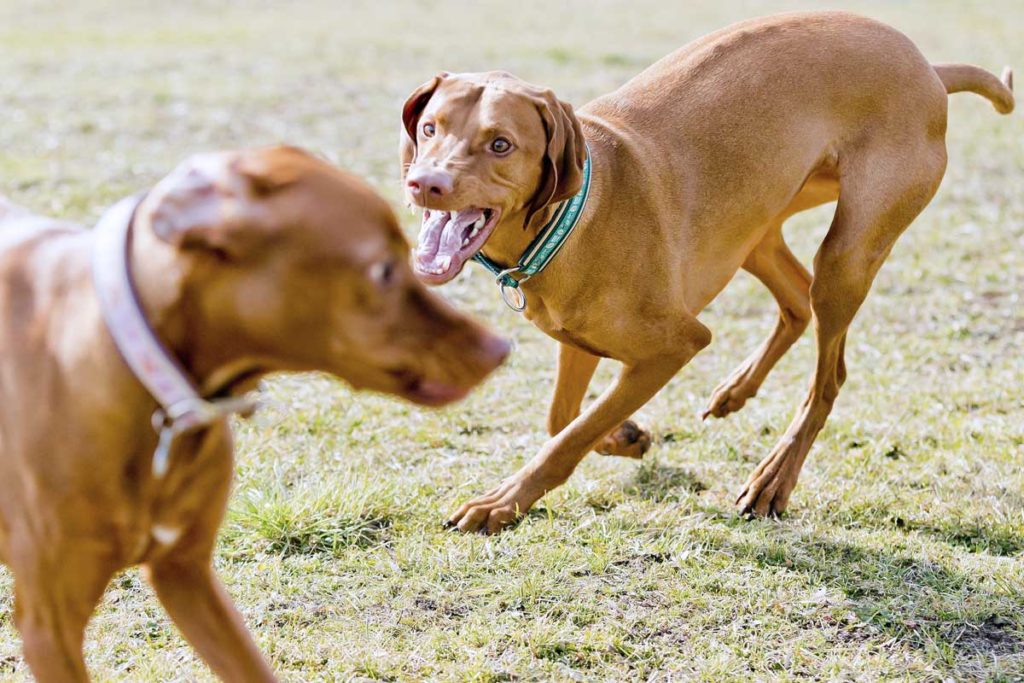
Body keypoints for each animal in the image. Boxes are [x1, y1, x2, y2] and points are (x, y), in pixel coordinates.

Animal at [399, 12, 1015, 532]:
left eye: (501, 144)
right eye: (430, 128)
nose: (425, 183)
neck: (568, 217)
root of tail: (928, 67)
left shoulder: (676, 345)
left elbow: (567, 438)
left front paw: (504, 502)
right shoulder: (577, 340)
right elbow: (565, 418)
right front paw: (624, 437)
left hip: (848, 251)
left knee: (828, 378)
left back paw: (773, 480)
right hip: (757, 227)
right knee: (797, 301)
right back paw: (737, 391)